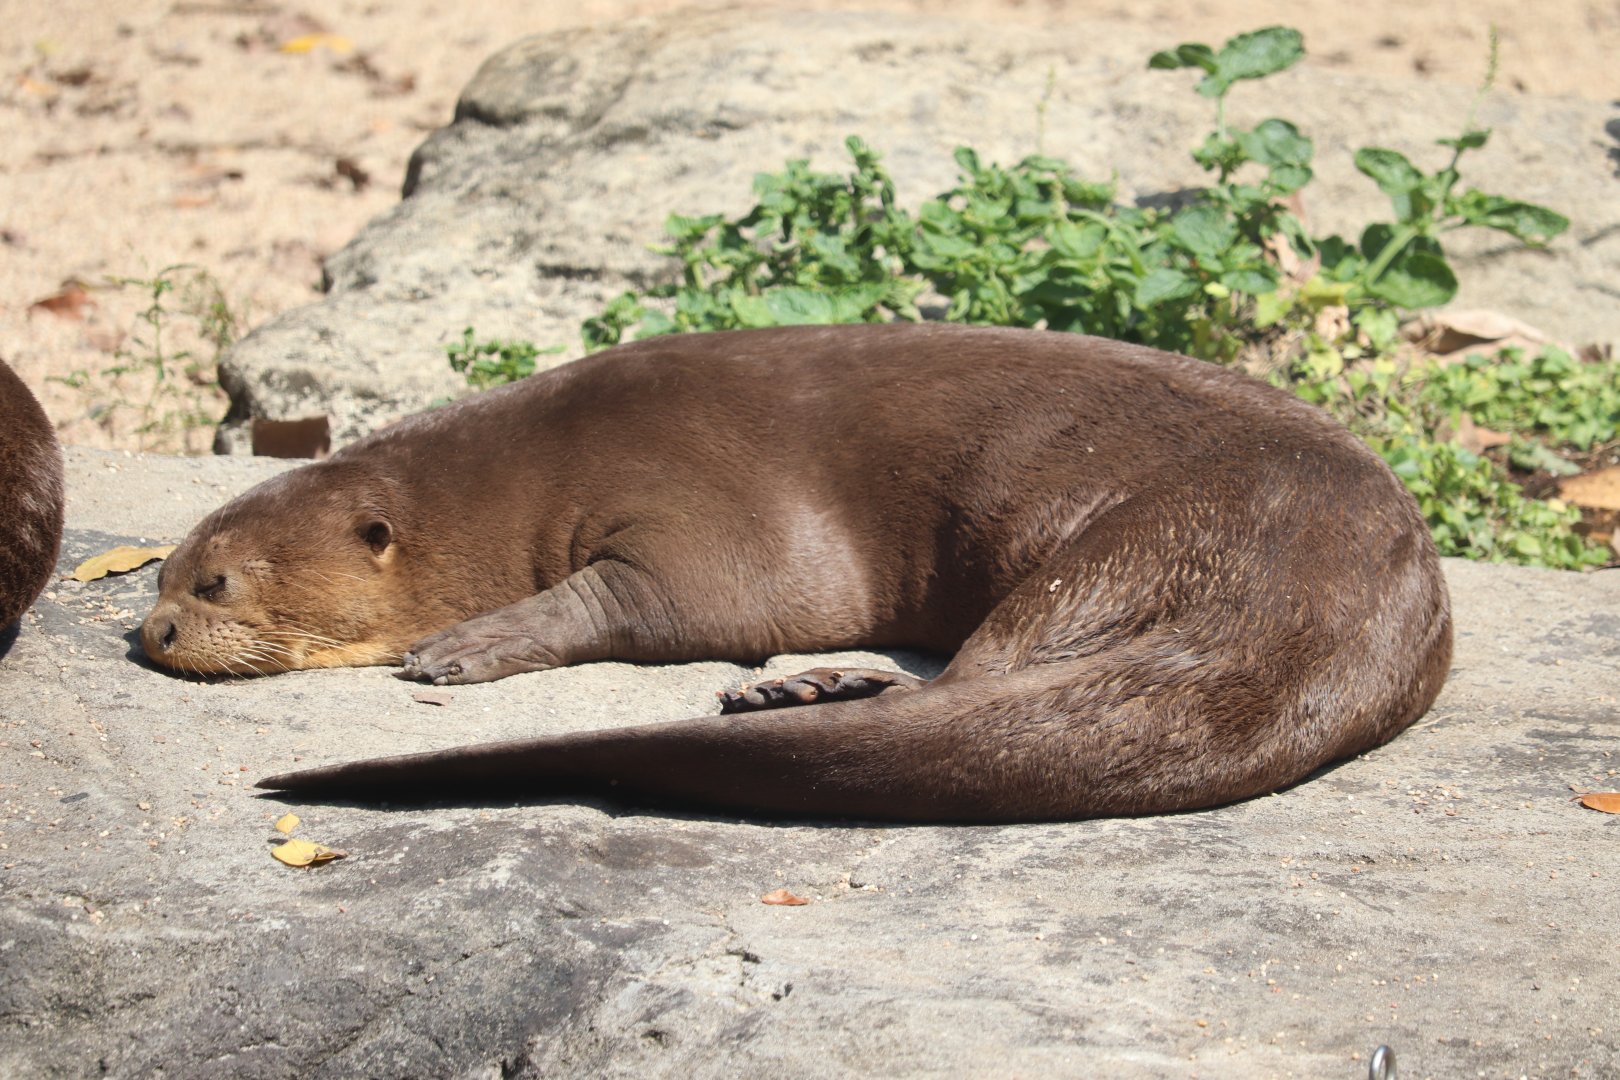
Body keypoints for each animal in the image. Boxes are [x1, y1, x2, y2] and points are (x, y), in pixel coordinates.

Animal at [142, 325, 1452, 821]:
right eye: (163, 573)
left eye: (216, 586)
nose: (150, 634)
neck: (515, 479)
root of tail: (1323, 624)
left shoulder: (698, 518)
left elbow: (652, 599)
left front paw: (463, 646)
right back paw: (810, 690)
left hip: (1120, 551)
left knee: (984, 672)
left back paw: (801, 687)